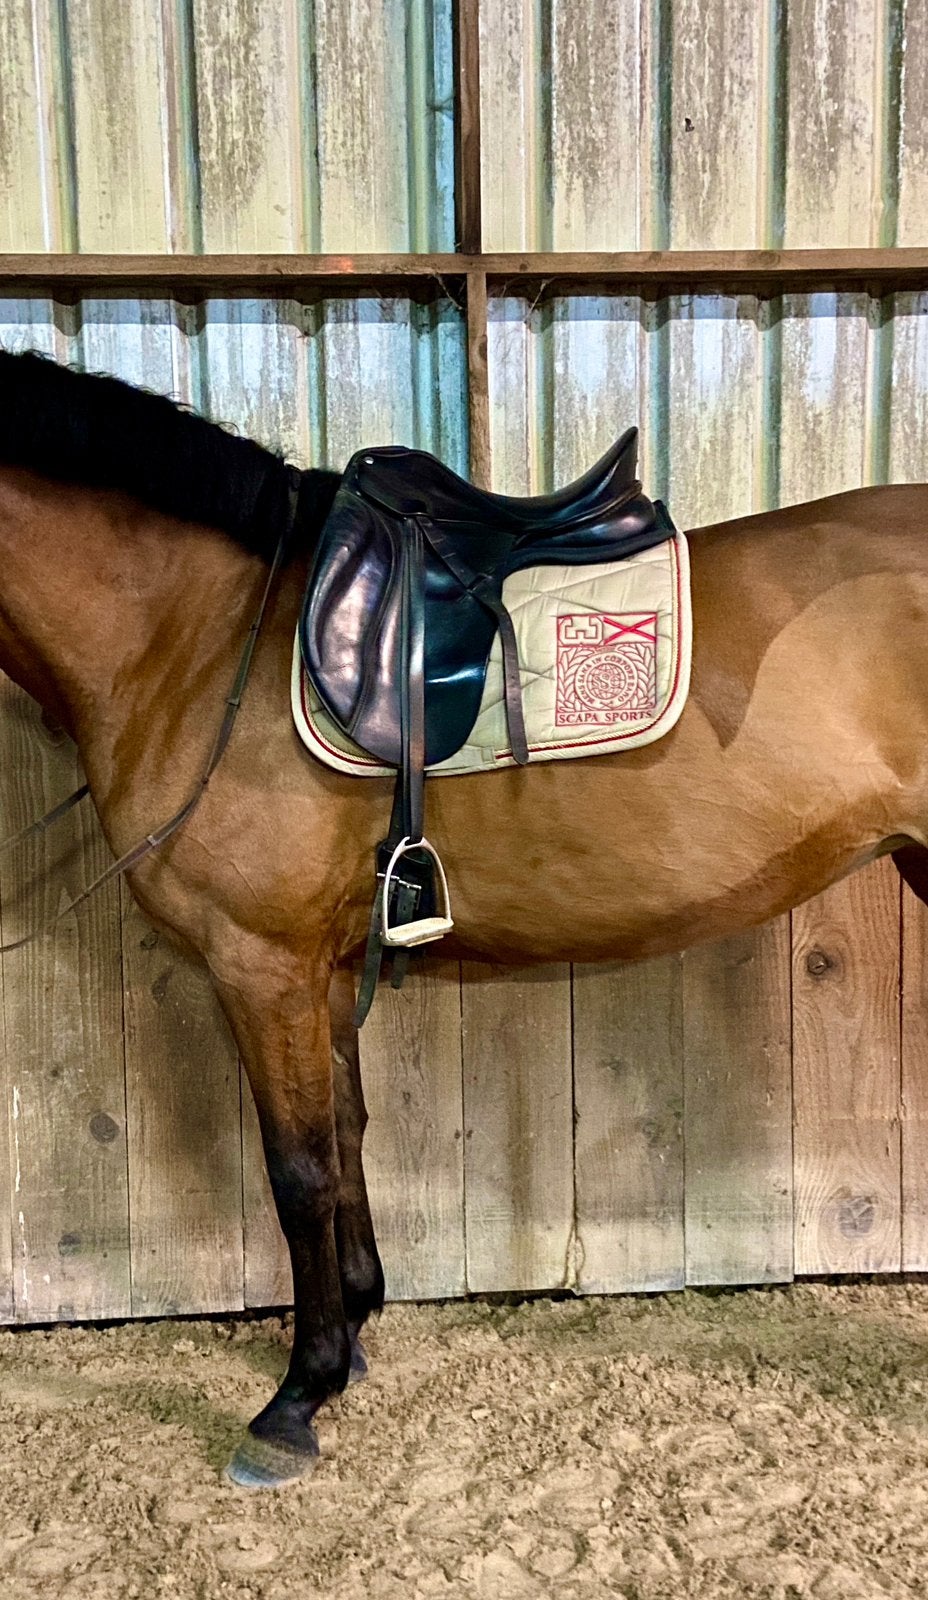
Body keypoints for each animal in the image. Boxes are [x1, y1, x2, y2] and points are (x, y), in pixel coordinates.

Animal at [2, 347, 928, 1488]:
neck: (196, 636)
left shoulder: (258, 965)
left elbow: (298, 1169)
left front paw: (295, 1398)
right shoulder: (313, 969)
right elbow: (345, 1133)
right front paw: (353, 1334)